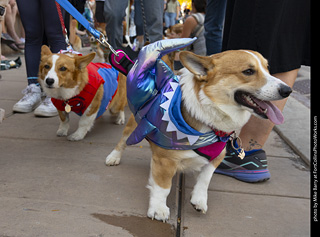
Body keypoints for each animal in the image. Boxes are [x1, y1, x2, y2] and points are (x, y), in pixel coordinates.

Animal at [105, 39, 292, 222]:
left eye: (267, 68)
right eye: (248, 71)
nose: (287, 90)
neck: (211, 122)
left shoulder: (217, 156)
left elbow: (205, 179)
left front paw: (199, 200)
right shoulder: (165, 161)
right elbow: (163, 187)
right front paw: (158, 209)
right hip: (133, 126)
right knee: (123, 141)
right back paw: (113, 157)